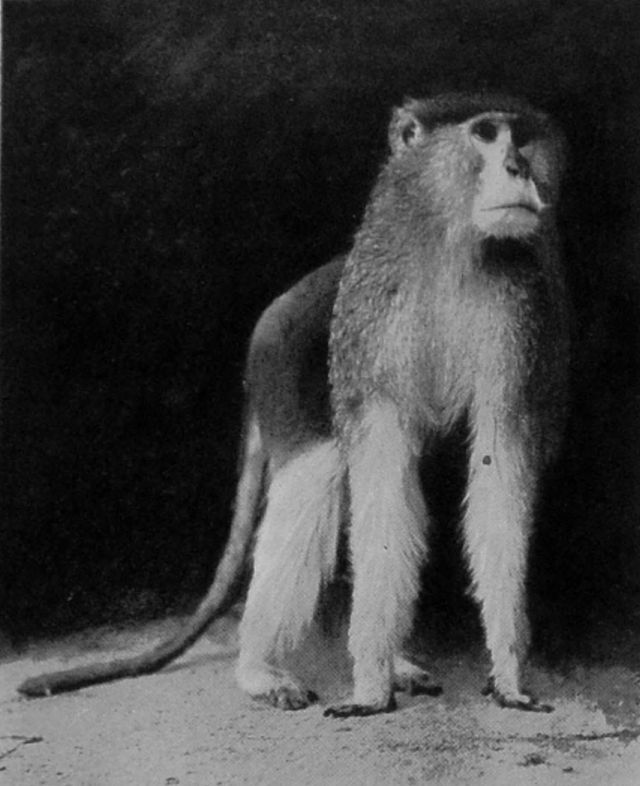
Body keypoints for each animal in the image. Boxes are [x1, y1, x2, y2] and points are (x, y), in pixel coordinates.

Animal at [18, 92, 569, 718]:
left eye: (521, 136)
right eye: (485, 134)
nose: (518, 167)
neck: (449, 246)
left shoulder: (518, 314)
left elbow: (497, 465)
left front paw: (507, 675)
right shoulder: (370, 327)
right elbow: (379, 475)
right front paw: (370, 687)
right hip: (282, 366)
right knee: (317, 478)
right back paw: (258, 668)